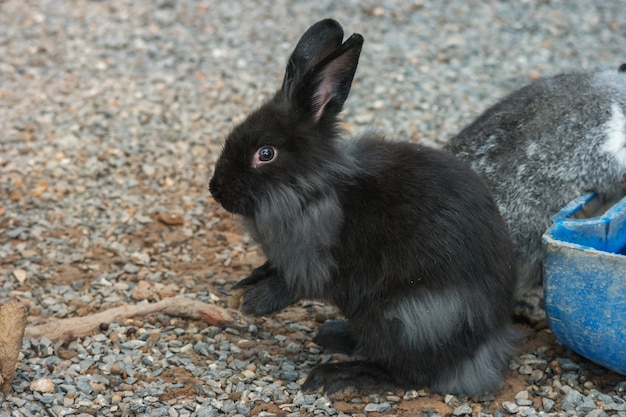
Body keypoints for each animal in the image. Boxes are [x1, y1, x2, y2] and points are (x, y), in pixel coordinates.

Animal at [210, 19, 516, 394]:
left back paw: (337, 373)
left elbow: (295, 286)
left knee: (406, 373)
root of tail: (484, 351)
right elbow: (268, 268)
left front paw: (256, 304)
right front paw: (245, 284)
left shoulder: (310, 262)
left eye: (265, 154)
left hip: (403, 320)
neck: (310, 187)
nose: (215, 189)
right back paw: (335, 335)